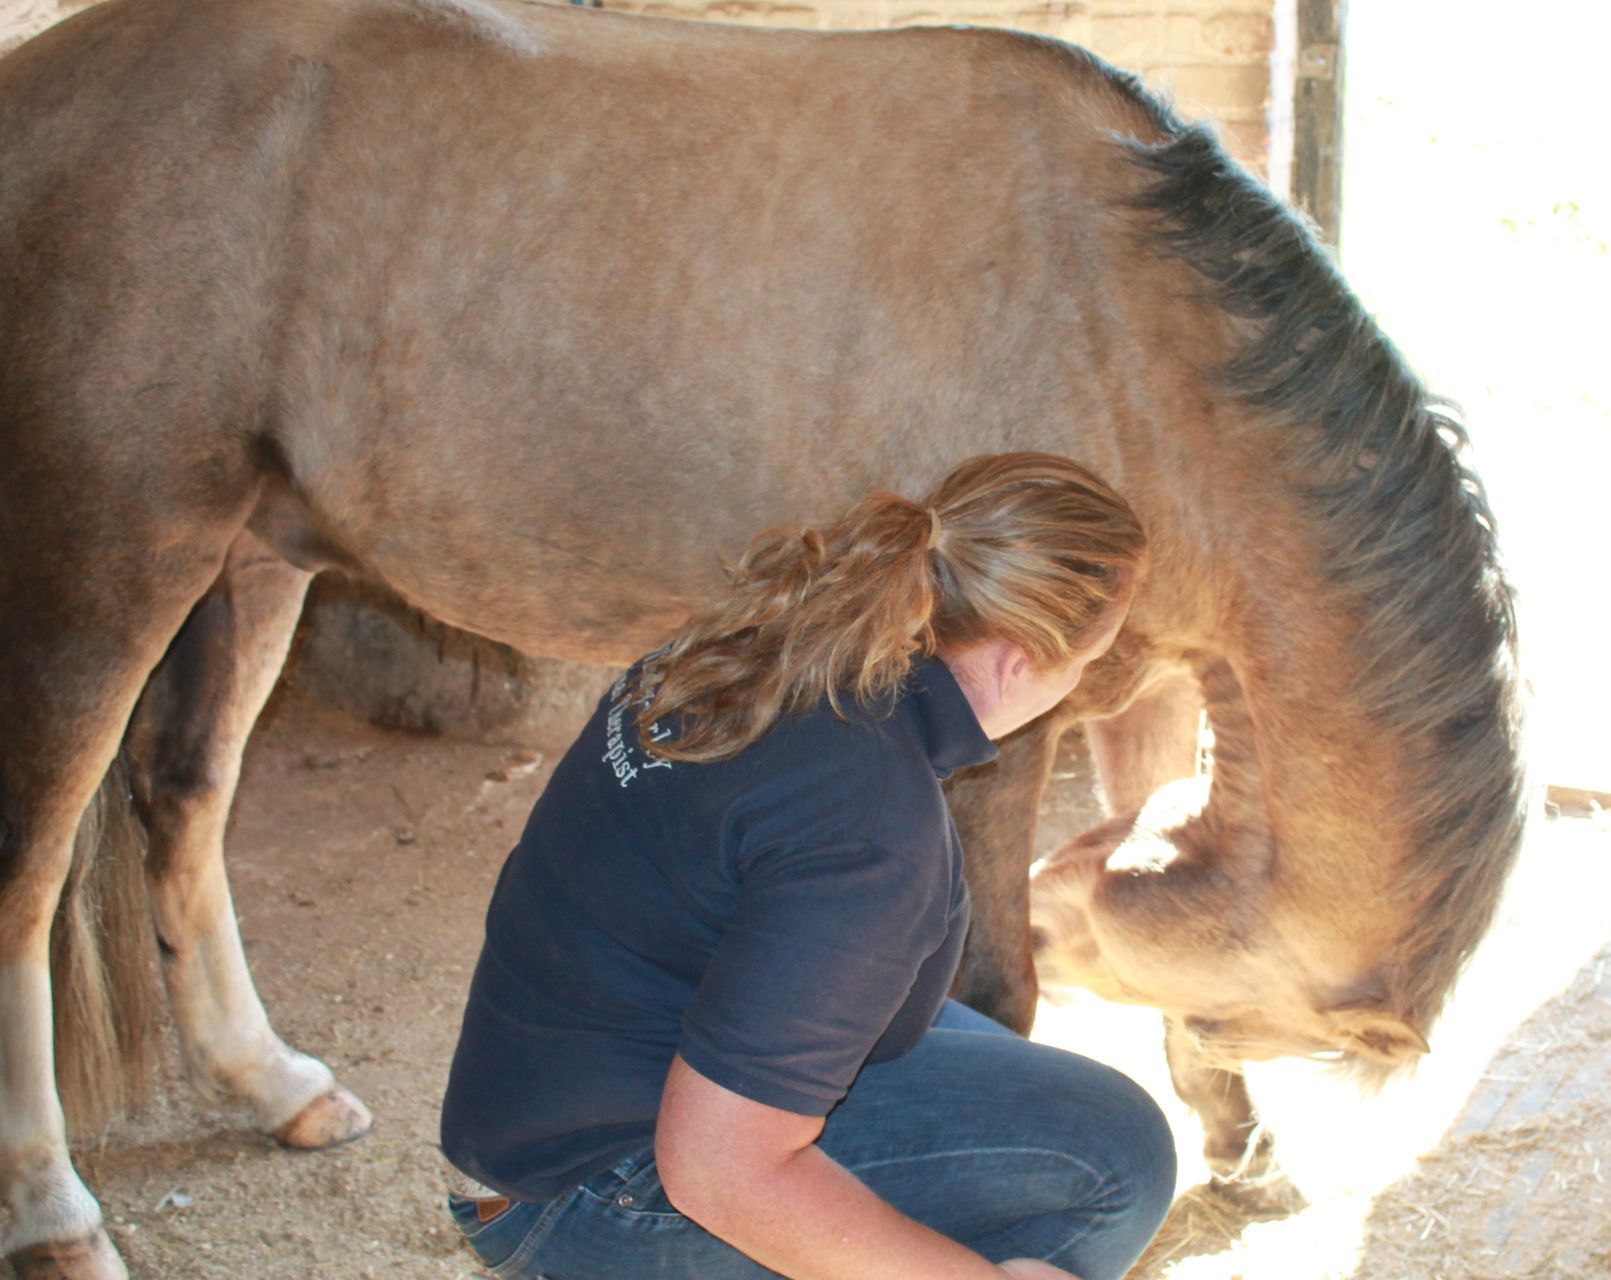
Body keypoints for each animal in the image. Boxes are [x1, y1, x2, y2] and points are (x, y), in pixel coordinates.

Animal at [0, 5, 1520, 1275]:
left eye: (1216, 1024)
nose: (1229, 1101)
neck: (1131, 339)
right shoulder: (997, 745)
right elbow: (997, 988)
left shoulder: (1140, 689)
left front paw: (1233, 1137)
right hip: (109, 565)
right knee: (30, 873)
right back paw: (56, 1216)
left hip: (255, 558)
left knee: (183, 806)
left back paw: (273, 1084)